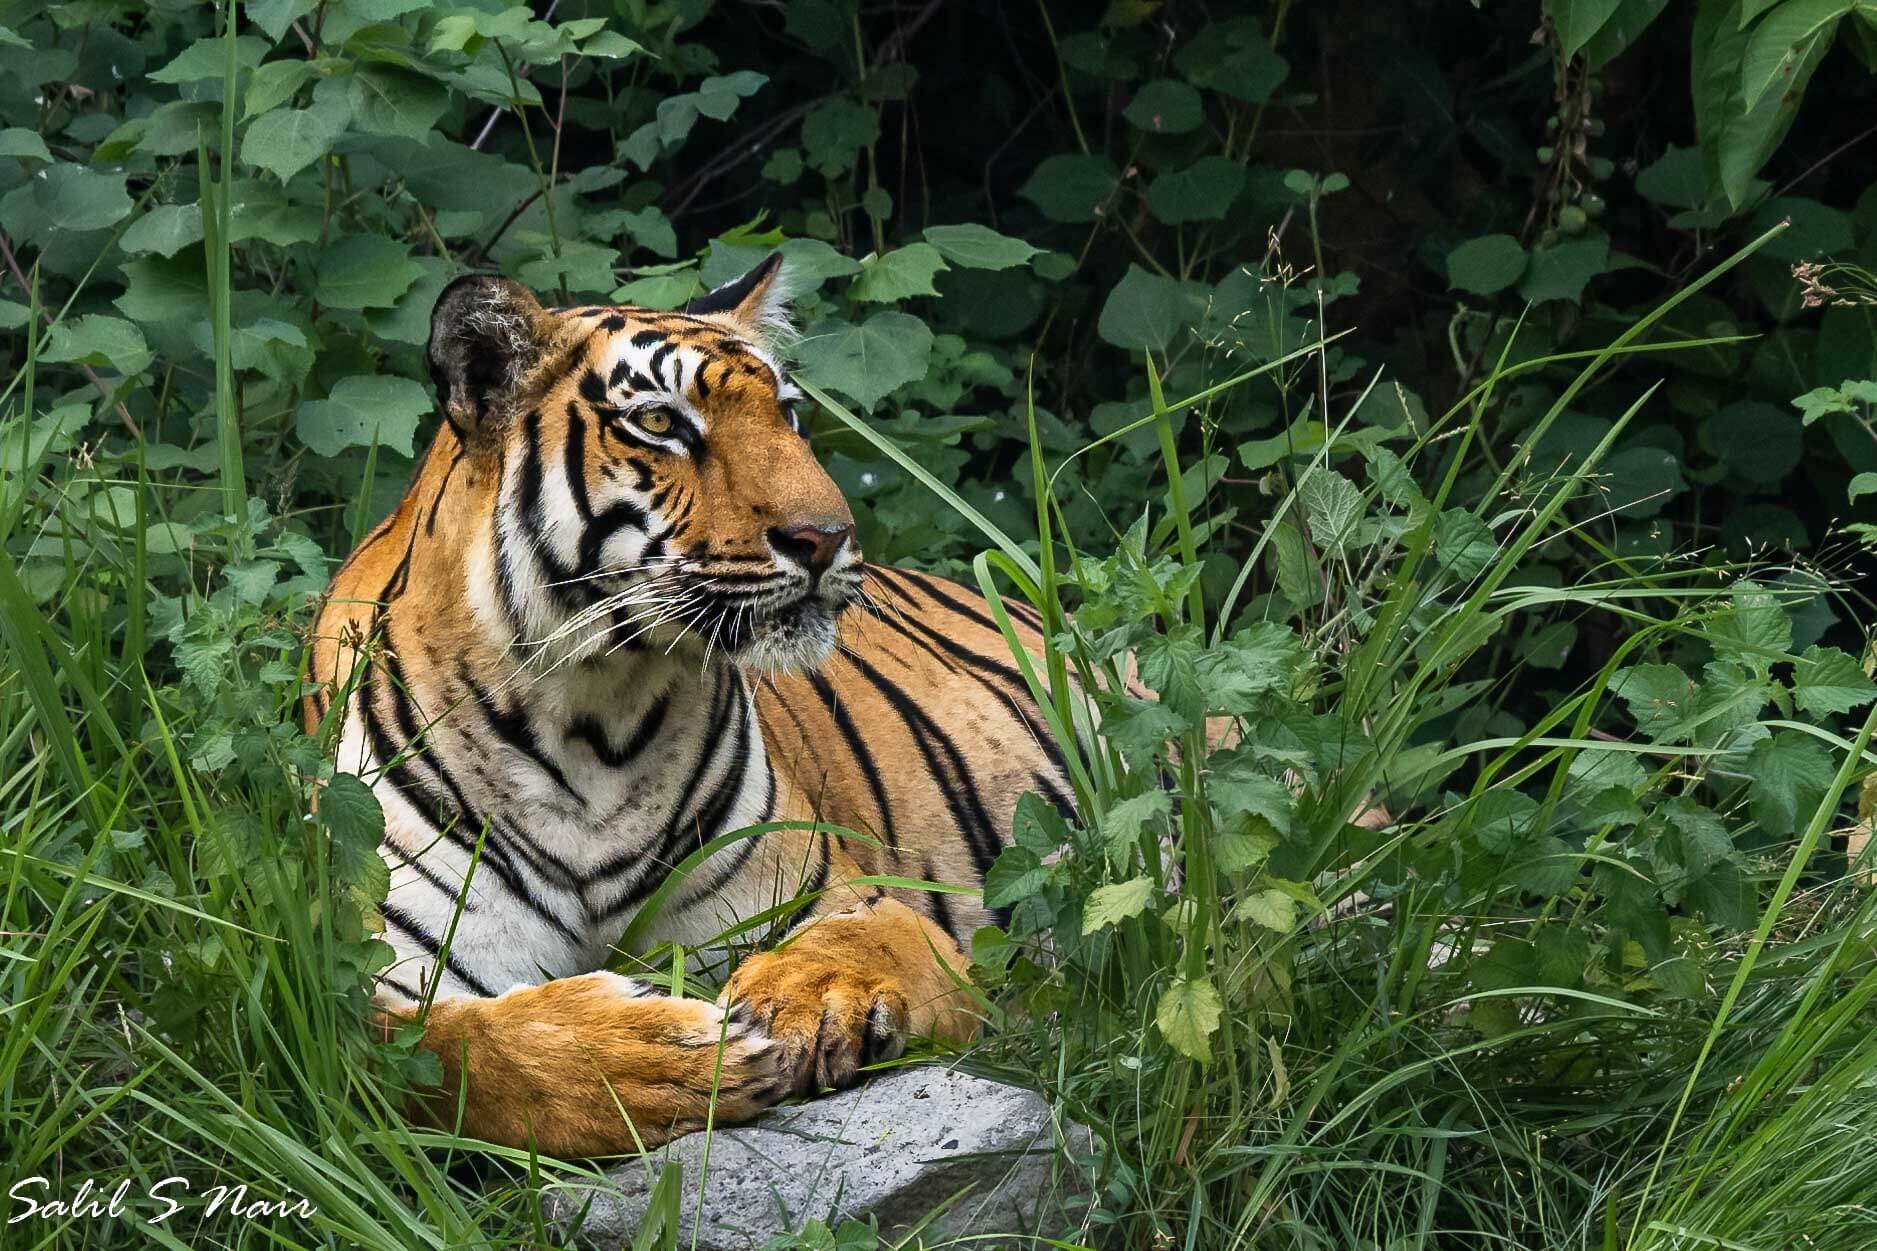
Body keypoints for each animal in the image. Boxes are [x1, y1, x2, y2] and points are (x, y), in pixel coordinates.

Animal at [305, 254, 1077, 1157]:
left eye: (787, 414)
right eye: (660, 422)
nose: (828, 537)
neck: (590, 718)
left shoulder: (849, 897)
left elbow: (858, 941)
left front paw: (807, 1002)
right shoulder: (364, 982)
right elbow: (461, 1052)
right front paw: (660, 1056)